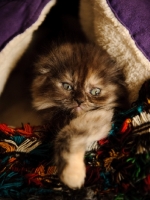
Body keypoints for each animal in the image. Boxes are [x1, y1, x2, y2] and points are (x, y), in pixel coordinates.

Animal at [31, 41, 128, 189]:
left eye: (95, 91)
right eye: (67, 86)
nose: (79, 101)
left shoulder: (102, 115)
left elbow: (67, 135)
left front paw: (71, 175)